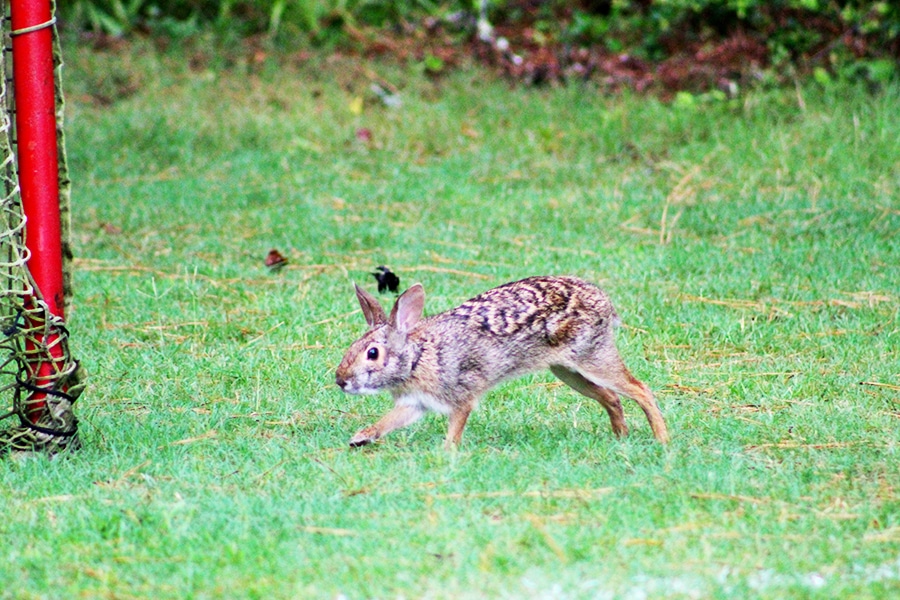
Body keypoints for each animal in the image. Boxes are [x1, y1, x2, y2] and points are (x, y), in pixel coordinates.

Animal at [334, 276, 664, 446]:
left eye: (372, 353)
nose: (341, 380)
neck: (417, 358)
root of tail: (603, 301)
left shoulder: (462, 395)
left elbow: (456, 426)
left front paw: (447, 452)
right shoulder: (415, 402)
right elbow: (391, 420)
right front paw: (361, 437)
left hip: (592, 358)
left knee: (640, 389)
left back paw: (662, 440)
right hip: (567, 370)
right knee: (611, 397)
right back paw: (621, 437)